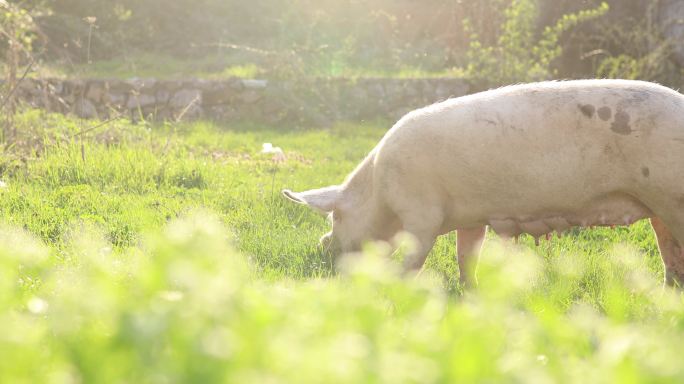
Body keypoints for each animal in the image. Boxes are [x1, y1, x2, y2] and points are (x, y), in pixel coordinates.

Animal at [282, 79, 684, 286]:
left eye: (335, 217)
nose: (323, 247)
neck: (380, 192)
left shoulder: (421, 212)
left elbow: (415, 256)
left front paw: (398, 288)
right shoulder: (472, 218)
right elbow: (467, 255)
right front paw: (468, 293)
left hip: (671, 196)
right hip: (659, 209)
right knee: (671, 256)